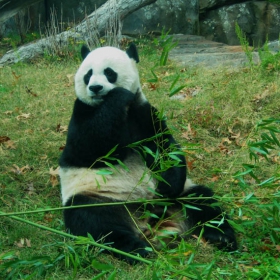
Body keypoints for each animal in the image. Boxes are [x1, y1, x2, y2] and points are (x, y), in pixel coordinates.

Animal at [58, 42, 236, 262]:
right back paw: (137, 249)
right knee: (94, 222)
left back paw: (221, 237)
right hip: (97, 196)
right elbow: (88, 147)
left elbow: (165, 148)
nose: (95, 88)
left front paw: (167, 186)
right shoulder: (82, 112)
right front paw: (117, 97)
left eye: (109, 73)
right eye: (88, 74)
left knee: (204, 202)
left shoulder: (144, 113)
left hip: (183, 196)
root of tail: (149, 222)